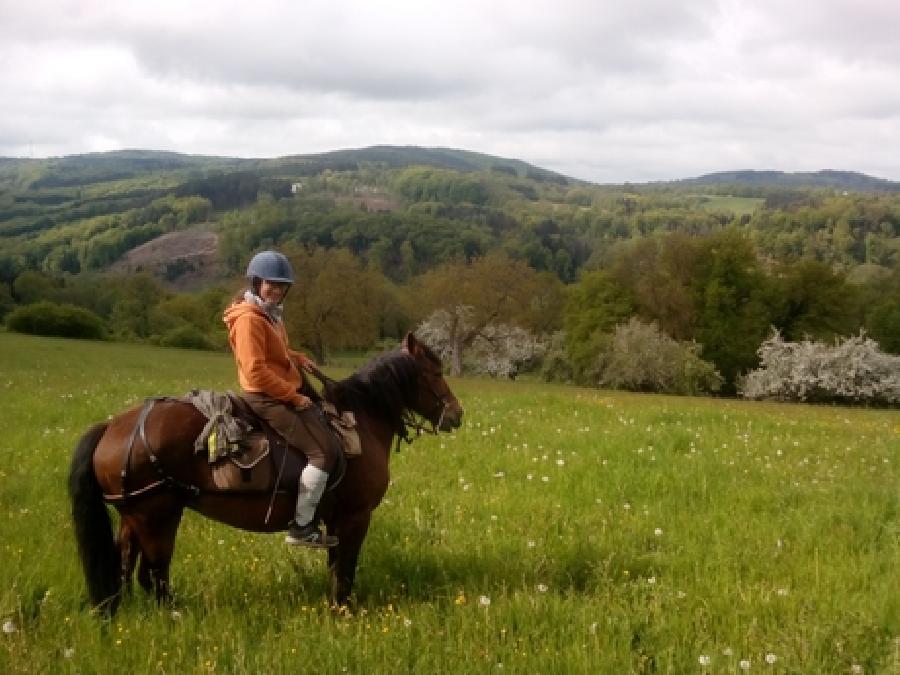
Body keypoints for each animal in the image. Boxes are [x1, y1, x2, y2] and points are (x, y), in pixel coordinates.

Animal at [68, 334, 464, 616]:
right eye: (436, 372)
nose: (457, 414)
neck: (362, 420)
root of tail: (112, 426)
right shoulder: (356, 516)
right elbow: (345, 570)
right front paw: (344, 612)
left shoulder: (337, 520)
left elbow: (335, 566)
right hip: (157, 517)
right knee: (154, 574)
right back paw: (174, 615)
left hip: (133, 517)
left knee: (124, 567)